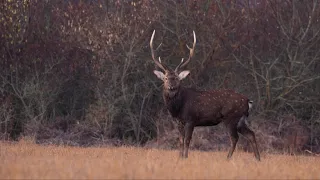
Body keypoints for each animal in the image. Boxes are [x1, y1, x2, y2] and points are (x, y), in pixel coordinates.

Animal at [149, 30, 260, 161]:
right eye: (166, 78)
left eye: (177, 78)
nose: (171, 87)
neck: (178, 108)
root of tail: (248, 101)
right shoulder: (179, 122)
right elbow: (180, 141)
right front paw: (180, 158)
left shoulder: (191, 119)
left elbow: (187, 140)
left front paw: (185, 157)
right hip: (241, 119)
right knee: (251, 134)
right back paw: (258, 158)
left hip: (231, 117)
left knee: (234, 138)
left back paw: (227, 158)